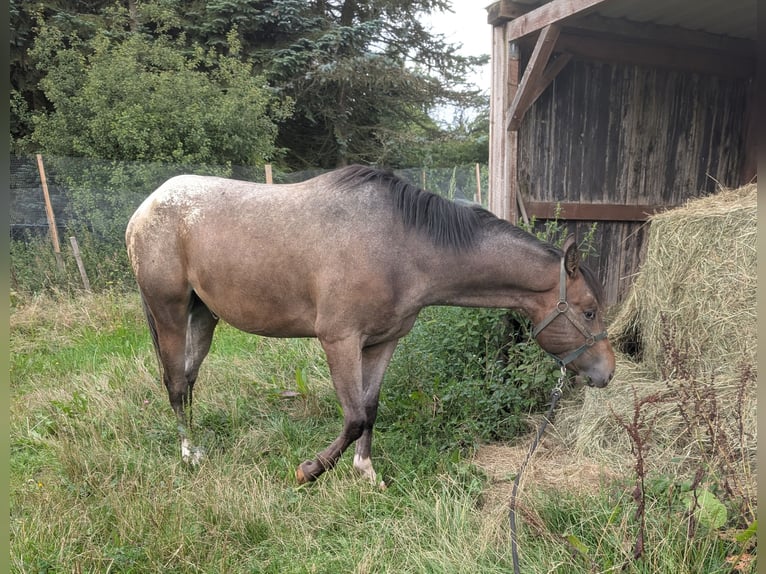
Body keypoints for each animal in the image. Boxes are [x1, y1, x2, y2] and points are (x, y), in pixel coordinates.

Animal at [125, 165, 615, 486]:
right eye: (589, 311)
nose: (607, 372)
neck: (401, 246)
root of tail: (145, 209)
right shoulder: (339, 341)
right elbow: (355, 416)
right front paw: (310, 470)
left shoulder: (383, 343)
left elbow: (371, 408)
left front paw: (367, 473)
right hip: (169, 312)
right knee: (175, 383)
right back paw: (189, 456)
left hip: (203, 316)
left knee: (188, 380)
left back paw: (196, 446)